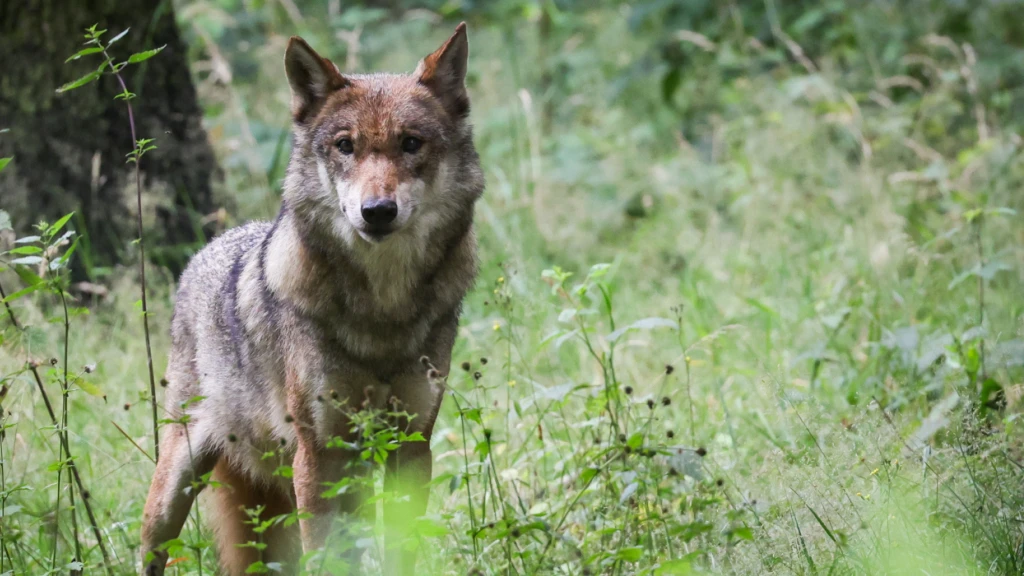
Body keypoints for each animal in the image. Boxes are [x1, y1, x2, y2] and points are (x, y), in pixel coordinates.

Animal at [140, 23, 482, 576]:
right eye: (345, 146)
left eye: (411, 143)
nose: (377, 211)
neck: (382, 311)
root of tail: (209, 248)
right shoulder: (319, 455)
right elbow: (327, 555)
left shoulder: (411, 446)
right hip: (175, 489)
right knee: (149, 547)